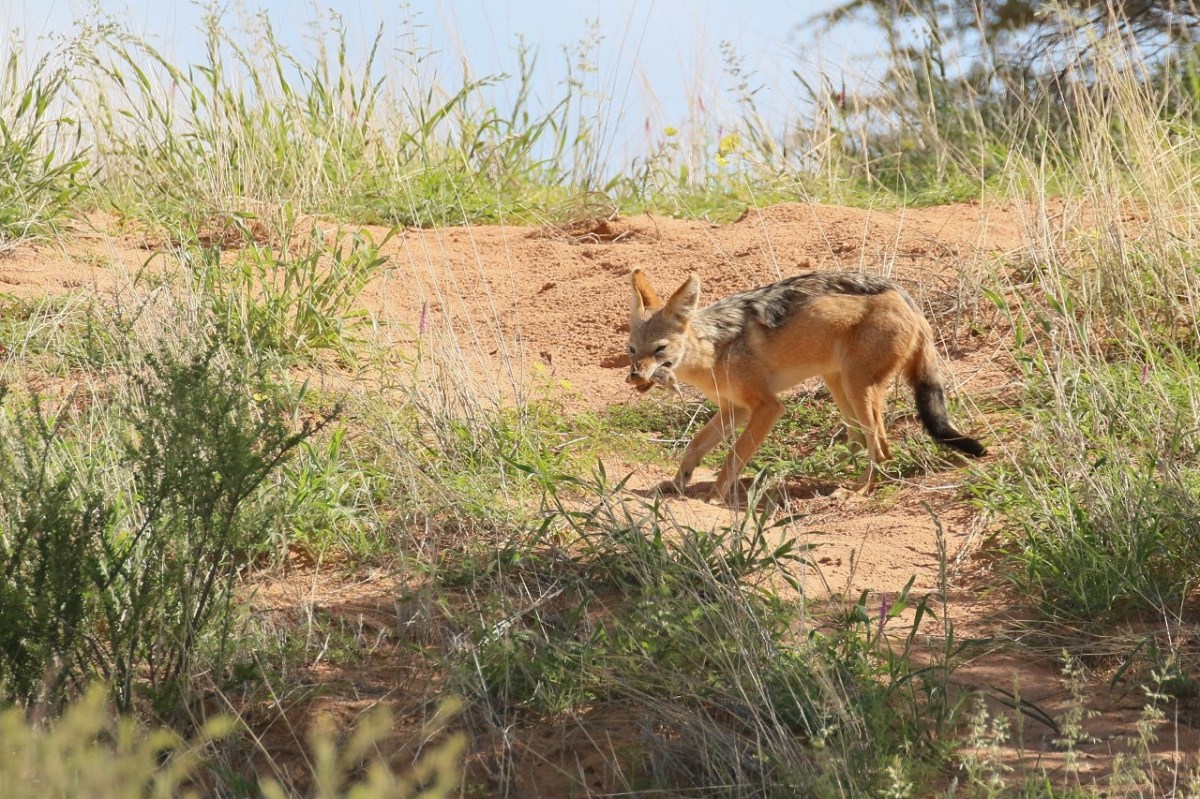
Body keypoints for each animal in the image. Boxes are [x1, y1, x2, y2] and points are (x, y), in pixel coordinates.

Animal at [626, 269, 985, 502]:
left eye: (659, 349)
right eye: (631, 350)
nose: (635, 377)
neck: (715, 348)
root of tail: (905, 297)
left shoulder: (768, 407)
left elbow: (732, 456)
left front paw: (714, 497)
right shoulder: (734, 409)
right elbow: (694, 446)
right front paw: (677, 484)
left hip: (856, 389)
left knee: (881, 450)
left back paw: (856, 492)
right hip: (840, 387)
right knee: (862, 443)